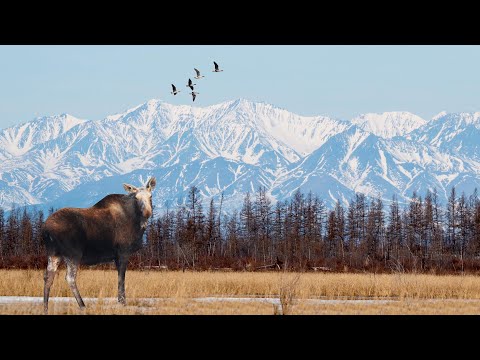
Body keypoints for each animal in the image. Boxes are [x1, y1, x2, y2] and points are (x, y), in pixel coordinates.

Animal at [42, 176, 157, 312]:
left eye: (150, 196)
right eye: (136, 198)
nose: (147, 212)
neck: (138, 224)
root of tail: (46, 229)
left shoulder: (116, 256)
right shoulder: (123, 252)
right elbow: (121, 279)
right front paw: (122, 303)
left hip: (54, 254)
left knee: (48, 277)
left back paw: (45, 308)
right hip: (73, 253)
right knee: (70, 278)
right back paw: (82, 305)